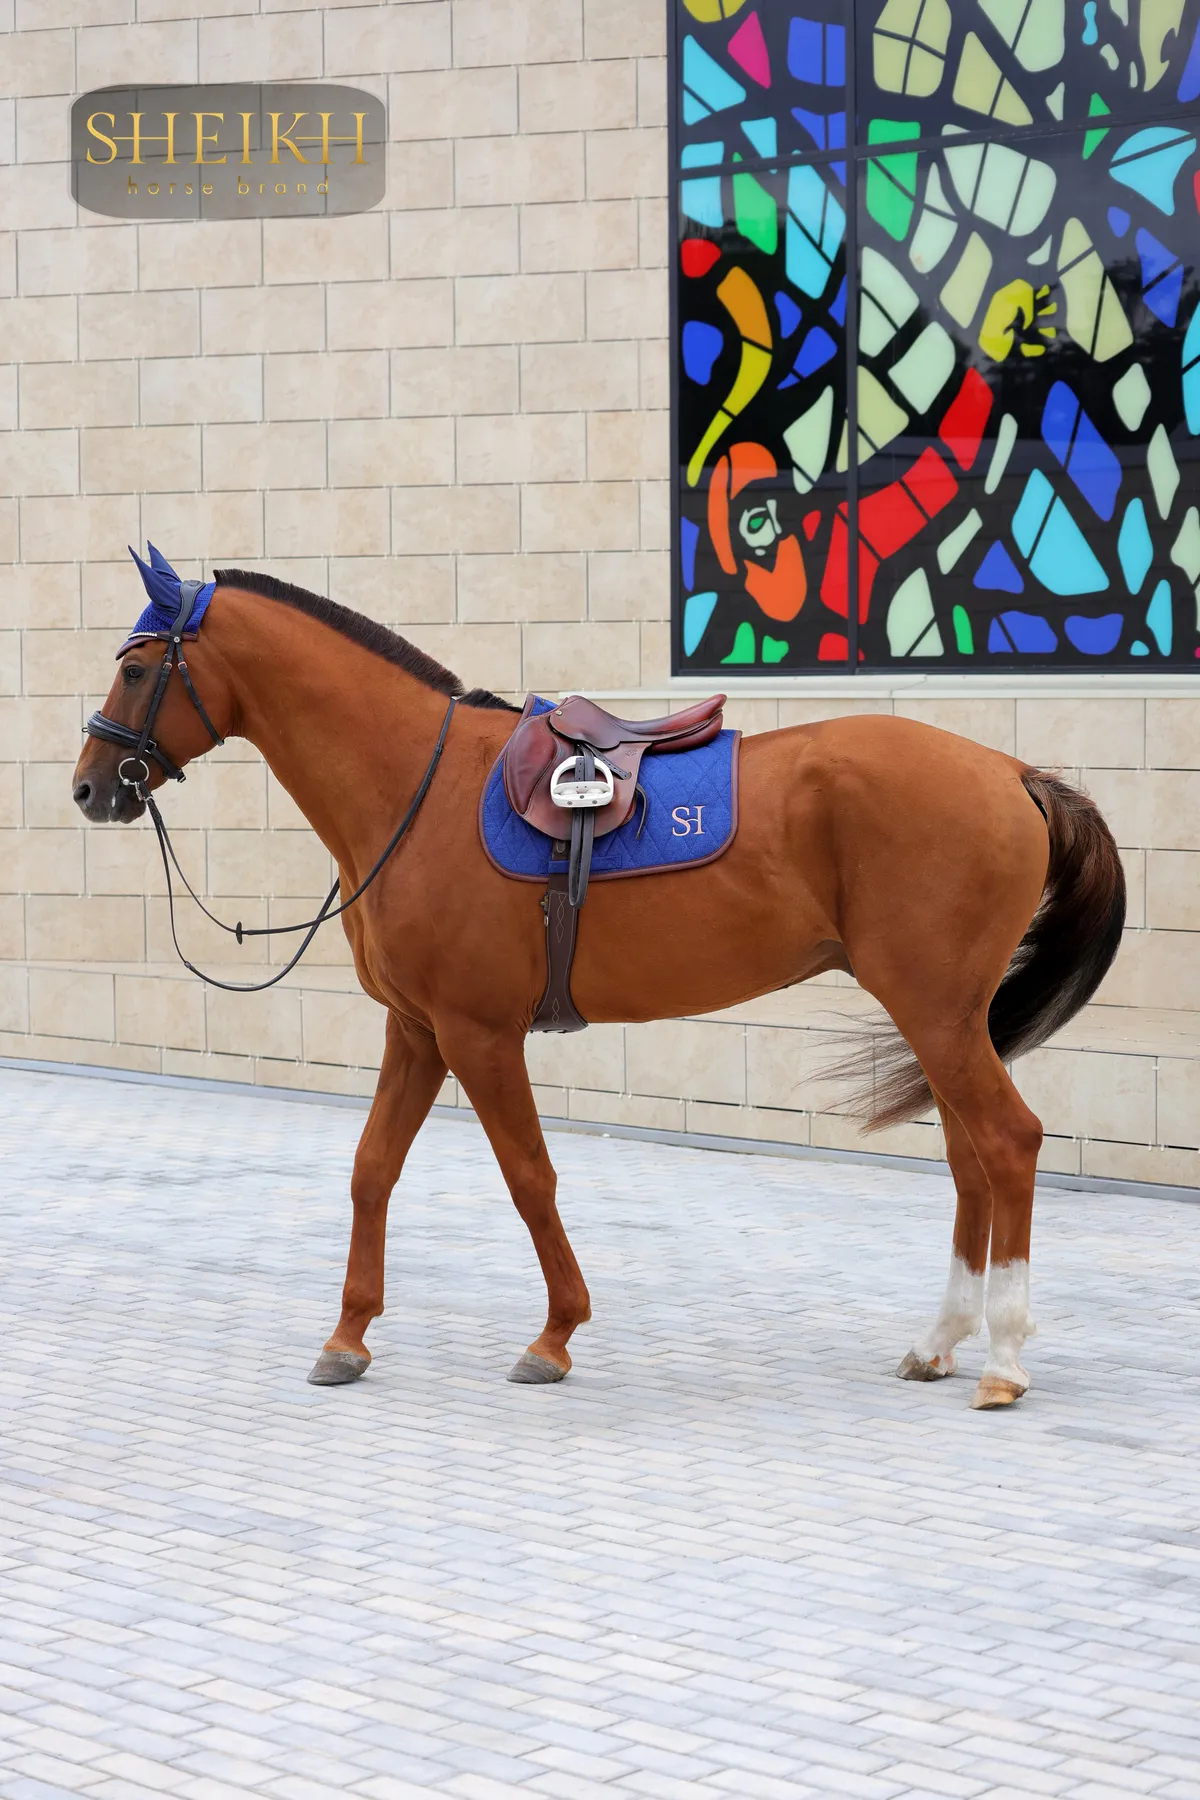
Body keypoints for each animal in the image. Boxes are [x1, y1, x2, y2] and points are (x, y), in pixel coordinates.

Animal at [72, 563, 1126, 1411]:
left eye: (138, 668)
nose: (90, 788)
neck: (418, 787)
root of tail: (1013, 771)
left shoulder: (478, 1033)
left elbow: (528, 1176)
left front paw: (554, 1336)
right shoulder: (416, 1031)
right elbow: (372, 1169)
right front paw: (347, 1339)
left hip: (934, 1013)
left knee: (1008, 1144)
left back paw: (1005, 1361)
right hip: (946, 1019)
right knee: (969, 1161)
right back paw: (941, 1343)